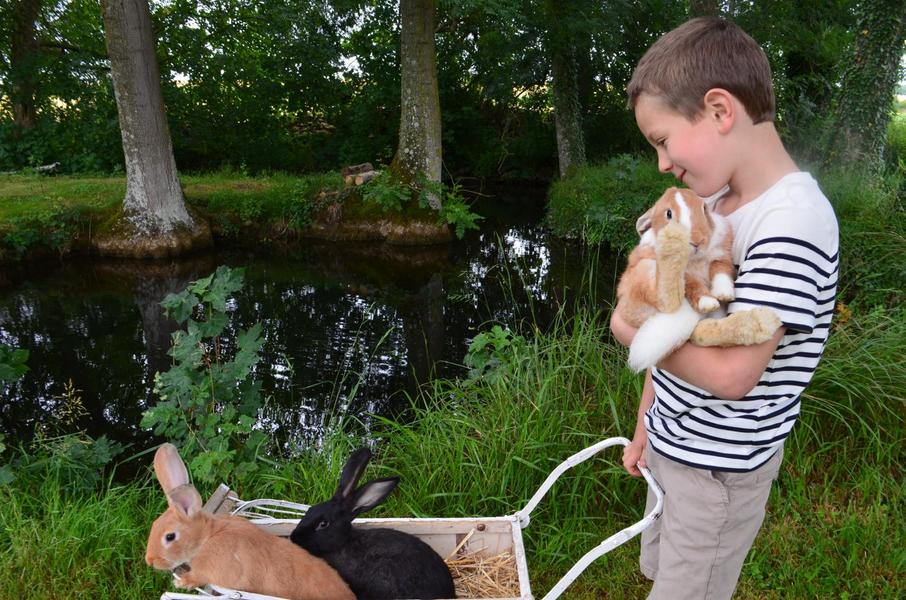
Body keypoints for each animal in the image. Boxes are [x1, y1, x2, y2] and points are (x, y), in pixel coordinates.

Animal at [145, 440, 354, 600]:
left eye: (170, 537)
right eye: (154, 526)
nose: (150, 561)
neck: (206, 538)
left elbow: (198, 577)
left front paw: (181, 582)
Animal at [616, 188, 776, 372]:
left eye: (704, 208)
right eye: (668, 213)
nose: (697, 241)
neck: (696, 259)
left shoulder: (721, 258)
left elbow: (721, 272)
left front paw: (724, 294)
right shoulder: (685, 275)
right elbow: (693, 284)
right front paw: (708, 302)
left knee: (701, 332)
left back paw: (762, 323)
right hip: (642, 274)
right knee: (666, 300)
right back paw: (672, 243)